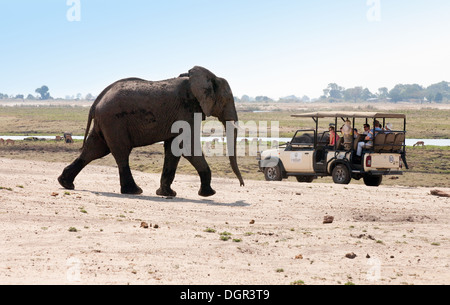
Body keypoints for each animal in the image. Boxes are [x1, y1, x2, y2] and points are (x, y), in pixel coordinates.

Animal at [58, 66, 246, 197]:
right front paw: (209, 194)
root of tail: (96, 101)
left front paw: (166, 194)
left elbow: (173, 148)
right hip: (113, 121)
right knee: (120, 152)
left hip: (105, 122)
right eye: (227, 100)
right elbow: (187, 148)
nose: (242, 185)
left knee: (94, 150)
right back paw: (134, 191)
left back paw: (65, 183)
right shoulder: (187, 110)